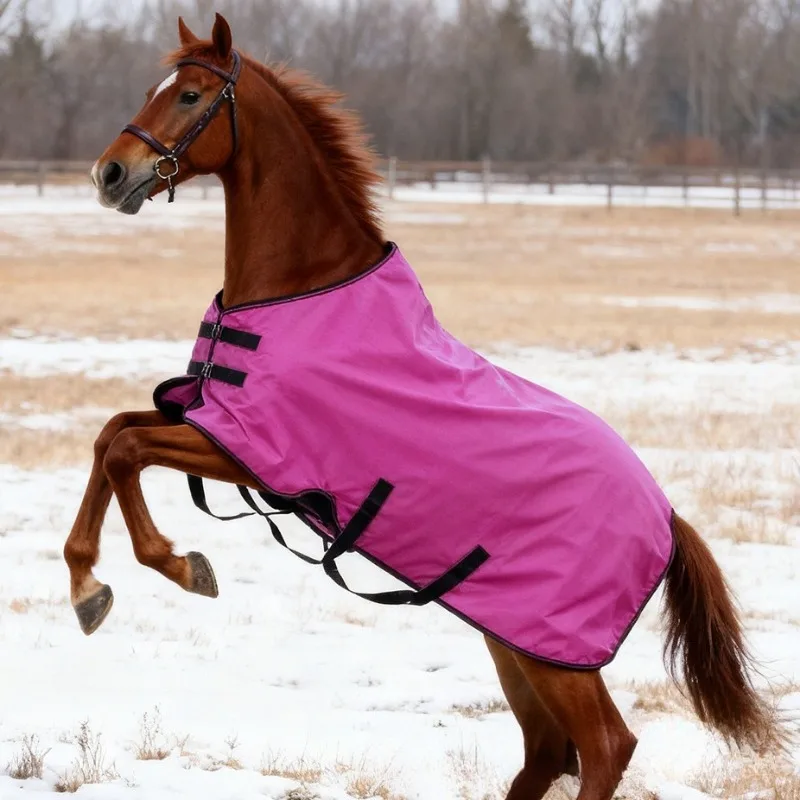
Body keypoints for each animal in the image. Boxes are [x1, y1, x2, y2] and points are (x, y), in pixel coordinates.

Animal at [65, 13, 782, 800]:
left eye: (191, 95)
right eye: (154, 88)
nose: (109, 174)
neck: (302, 292)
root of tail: (668, 517)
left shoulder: (255, 454)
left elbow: (126, 449)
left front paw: (176, 566)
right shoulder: (207, 422)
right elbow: (110, 436)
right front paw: (88, 586)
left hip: (555, 655)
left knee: (604, 745)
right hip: (513, 641)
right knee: (547, 750)